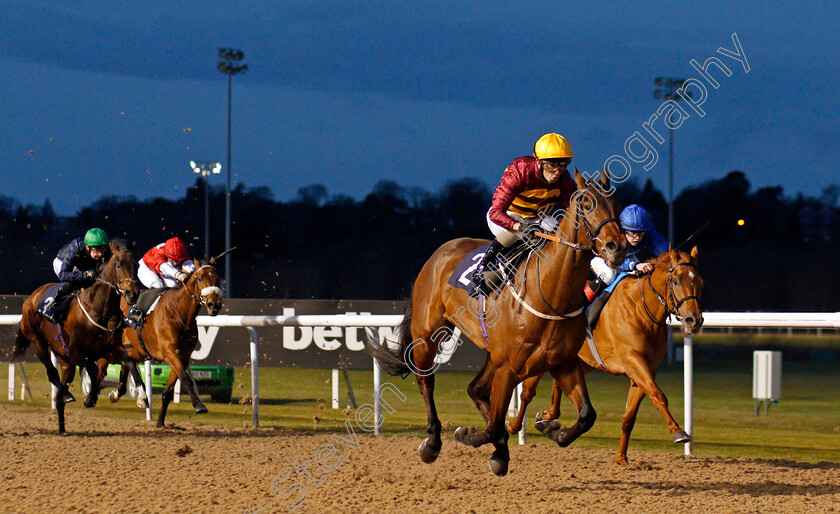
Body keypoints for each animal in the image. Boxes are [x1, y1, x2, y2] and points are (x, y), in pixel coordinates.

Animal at [12, 239, 141, 432]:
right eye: (118, 265)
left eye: (137, 265)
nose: (132, 294)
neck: (99, 310)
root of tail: (31, 297)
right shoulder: (76, 352)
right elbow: (93, 370)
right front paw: (90, 398)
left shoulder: (111, 350)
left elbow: (130, 362)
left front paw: (142, 397)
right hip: (38, 341)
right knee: (52, 374)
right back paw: (67, 395)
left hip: (65, 361)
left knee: (59, 395)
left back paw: (62, 429)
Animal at [110, 258, 225, 426]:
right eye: (199, 278)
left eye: (218, 279)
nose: (213, 305)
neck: (179, 313)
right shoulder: (169, 352)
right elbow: (186, 379)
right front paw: (199, 405)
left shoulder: (182, 356)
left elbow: (168, 391)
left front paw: (160, 422)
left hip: (138, 350)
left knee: (126, 362)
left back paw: (122, 395)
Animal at [370, 170, 628, 474]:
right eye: (587, 205)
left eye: (617, 205)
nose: (617, 247)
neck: (550, 293)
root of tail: (440, 252)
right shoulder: (509, 366)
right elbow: (493, 426)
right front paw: (467, 434)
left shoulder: (561, 362)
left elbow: (587, 415)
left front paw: (552, 430)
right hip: (429, 333)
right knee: (426, 380)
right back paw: (432, 442)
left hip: (492, 351)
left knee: (476, 389)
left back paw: (501, 449)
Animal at [508, 247, 704, 464]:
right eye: (676, 281)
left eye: (700, 281)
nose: (694, 320)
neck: (640, 310)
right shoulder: (633, 361)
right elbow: (658, 395)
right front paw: (678, 432)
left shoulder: (644, 371)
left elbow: (630, 416)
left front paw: (622, 458)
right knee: (526, 393)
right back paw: (514, 426)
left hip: (581, 361)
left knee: (557, 384)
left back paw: (547, 416)